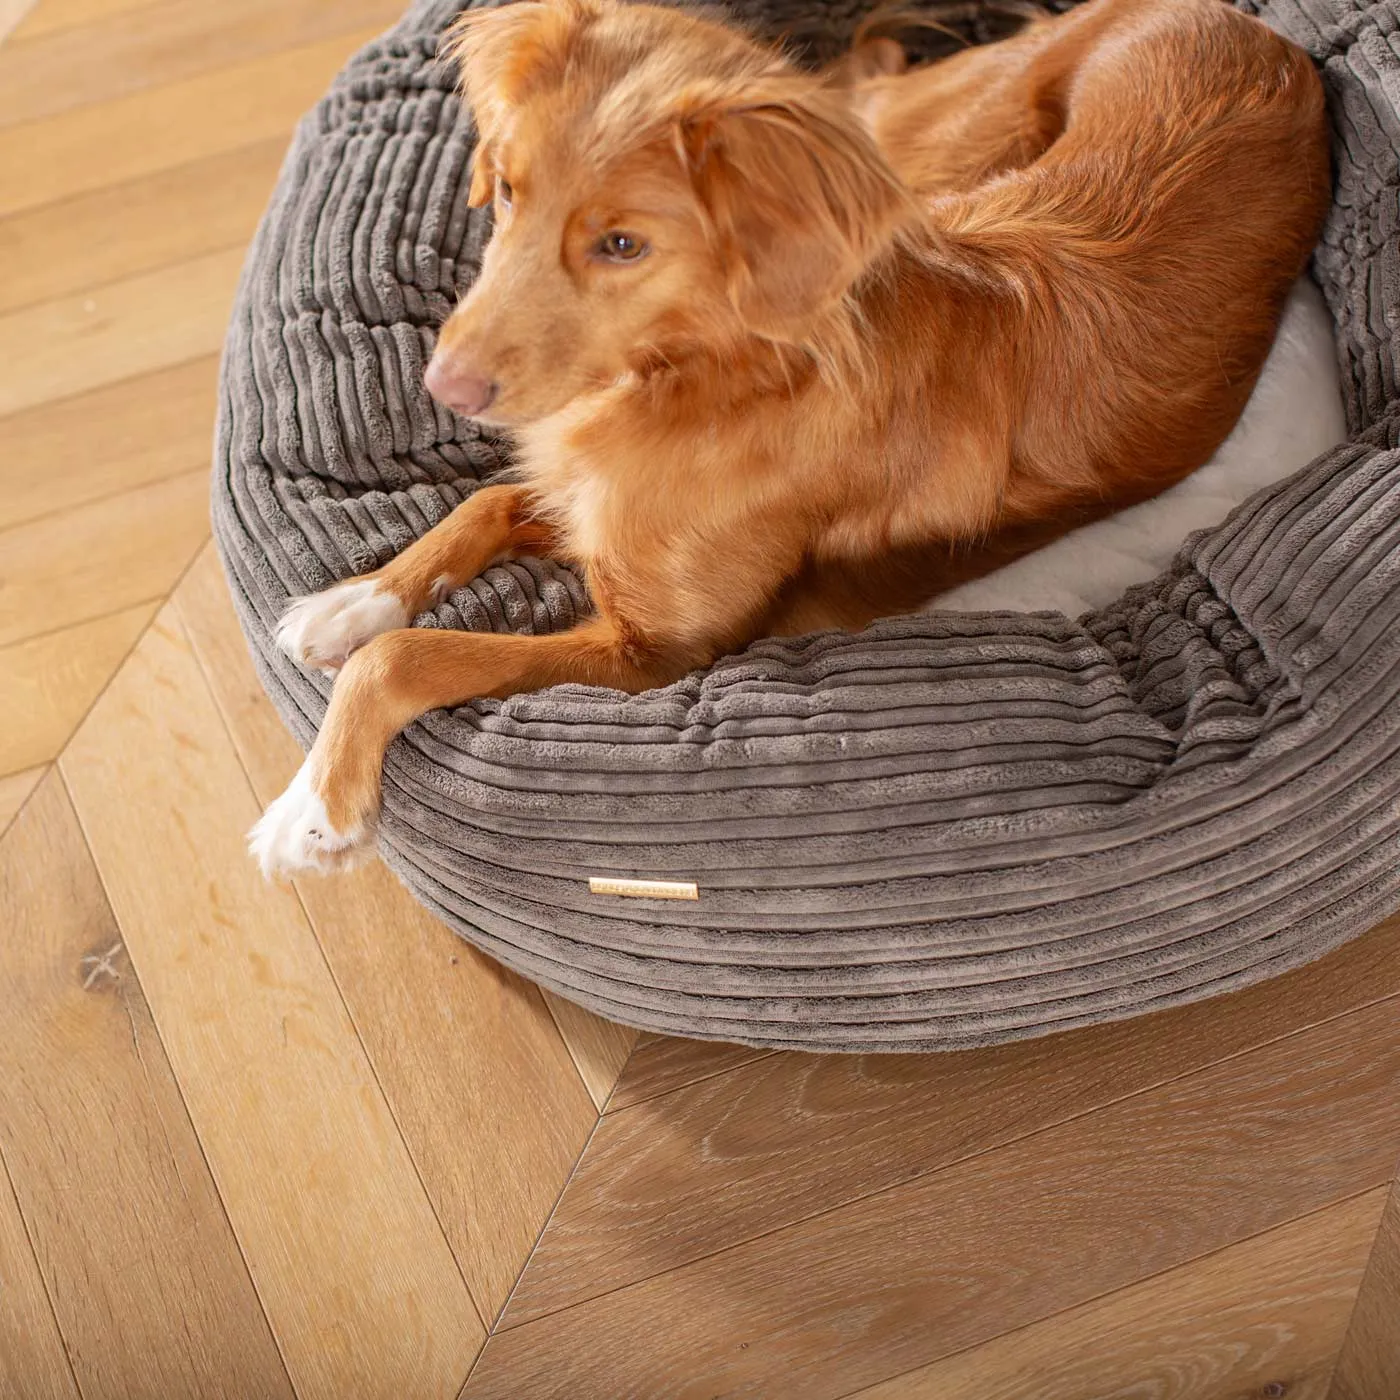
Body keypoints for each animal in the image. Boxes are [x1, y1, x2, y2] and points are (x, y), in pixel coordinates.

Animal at [246, 0, 1327, 879]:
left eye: (623, 244)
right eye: (505, 190)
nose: (446, 384)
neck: (706, 375)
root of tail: (1249, 28)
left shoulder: (658, 653)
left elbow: (412, 658)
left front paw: (314, 810)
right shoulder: (602, 520)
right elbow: (484, 502)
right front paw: (351, 601)